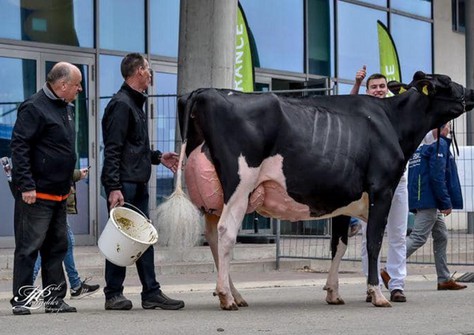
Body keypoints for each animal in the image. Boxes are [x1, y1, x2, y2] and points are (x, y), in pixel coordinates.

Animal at [178, 72, 474, 312]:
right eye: (447, 81)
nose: (470, 92)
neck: (392, 122)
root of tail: (206, 91)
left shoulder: (344, 201)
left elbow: (339, 246)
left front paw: (333, 292)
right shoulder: (381, 190)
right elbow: (374, 242)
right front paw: (377, 294)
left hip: (213, 199)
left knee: (213, 238)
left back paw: (236, 295)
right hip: (240, 185)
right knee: (226, 233)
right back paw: (226, 297)